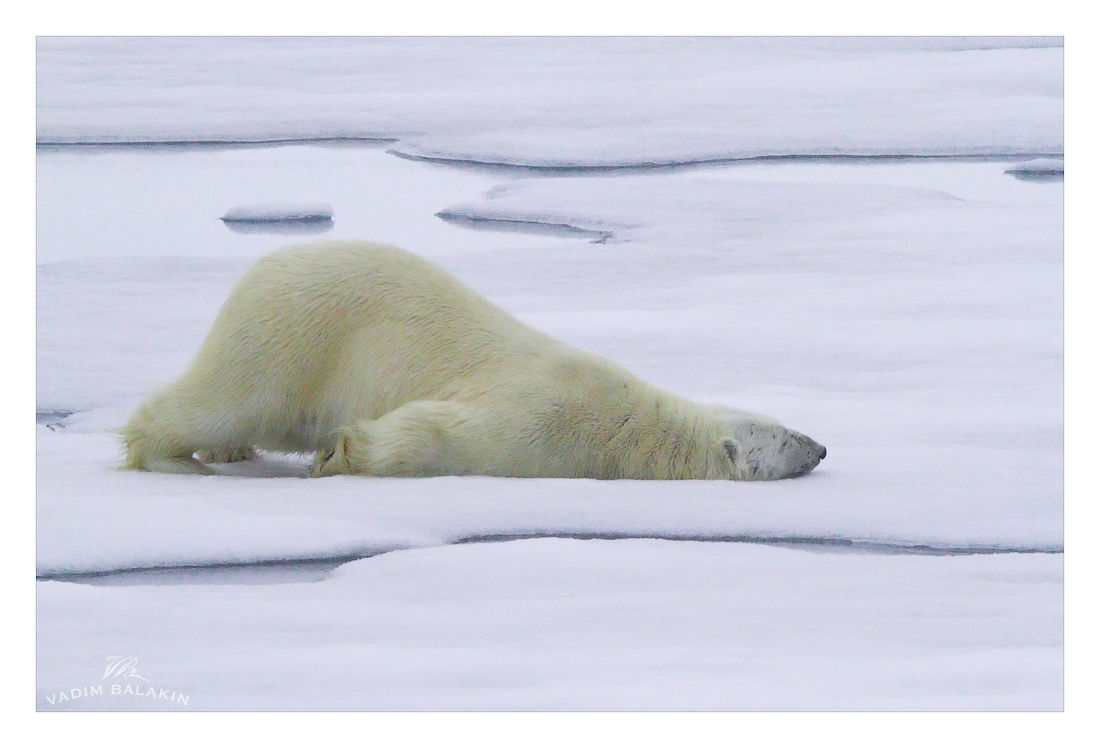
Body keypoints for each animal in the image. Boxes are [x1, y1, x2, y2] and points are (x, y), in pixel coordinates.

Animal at [122, 242, 827, 481]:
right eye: (783, 436)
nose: (822, 447)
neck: (635, 430)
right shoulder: (546, 419)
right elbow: (437, 429)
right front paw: (345, 453)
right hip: (293, 336)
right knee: (225, 400)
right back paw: (175, 457)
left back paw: (229, 453)